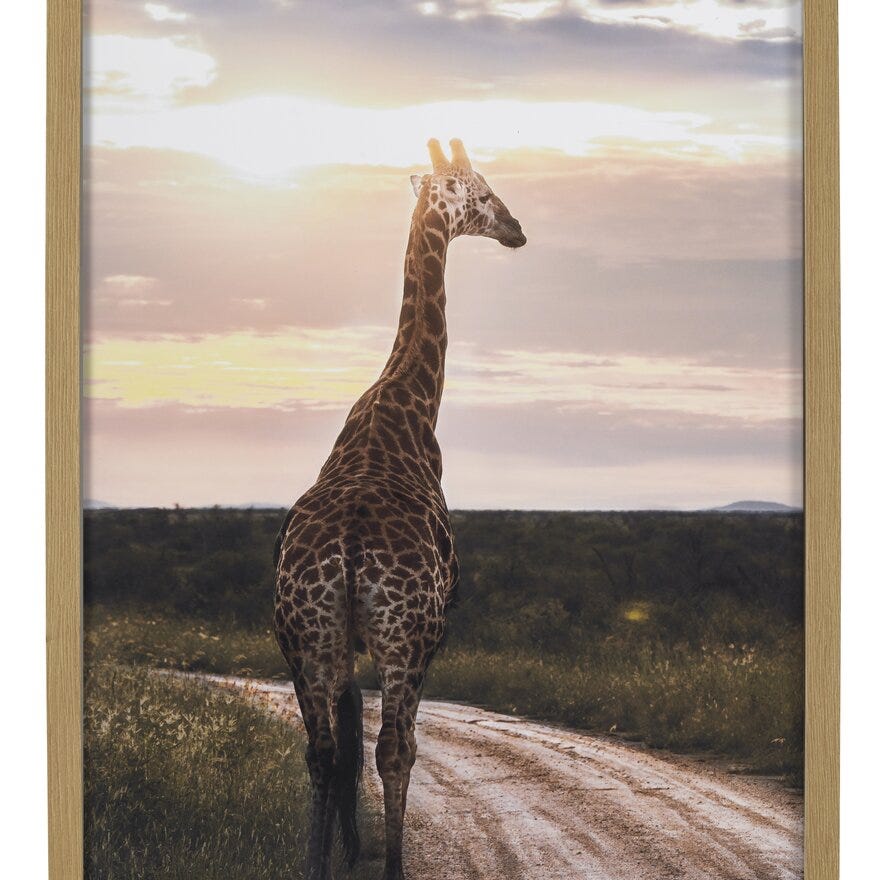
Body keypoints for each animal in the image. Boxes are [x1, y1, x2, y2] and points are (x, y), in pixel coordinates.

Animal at [273, 138, 526, 880]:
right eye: (483, 192)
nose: (517, 229)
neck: (404, 404)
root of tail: (350, 551)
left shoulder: (340, 643)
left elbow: (343, 749)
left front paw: (346, 850)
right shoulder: (428, 634)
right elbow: (392, 748)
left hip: (307, 638)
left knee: (323, 751)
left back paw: (316, 865)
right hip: (402, 637)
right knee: (394, 748)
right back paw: (391, 867)